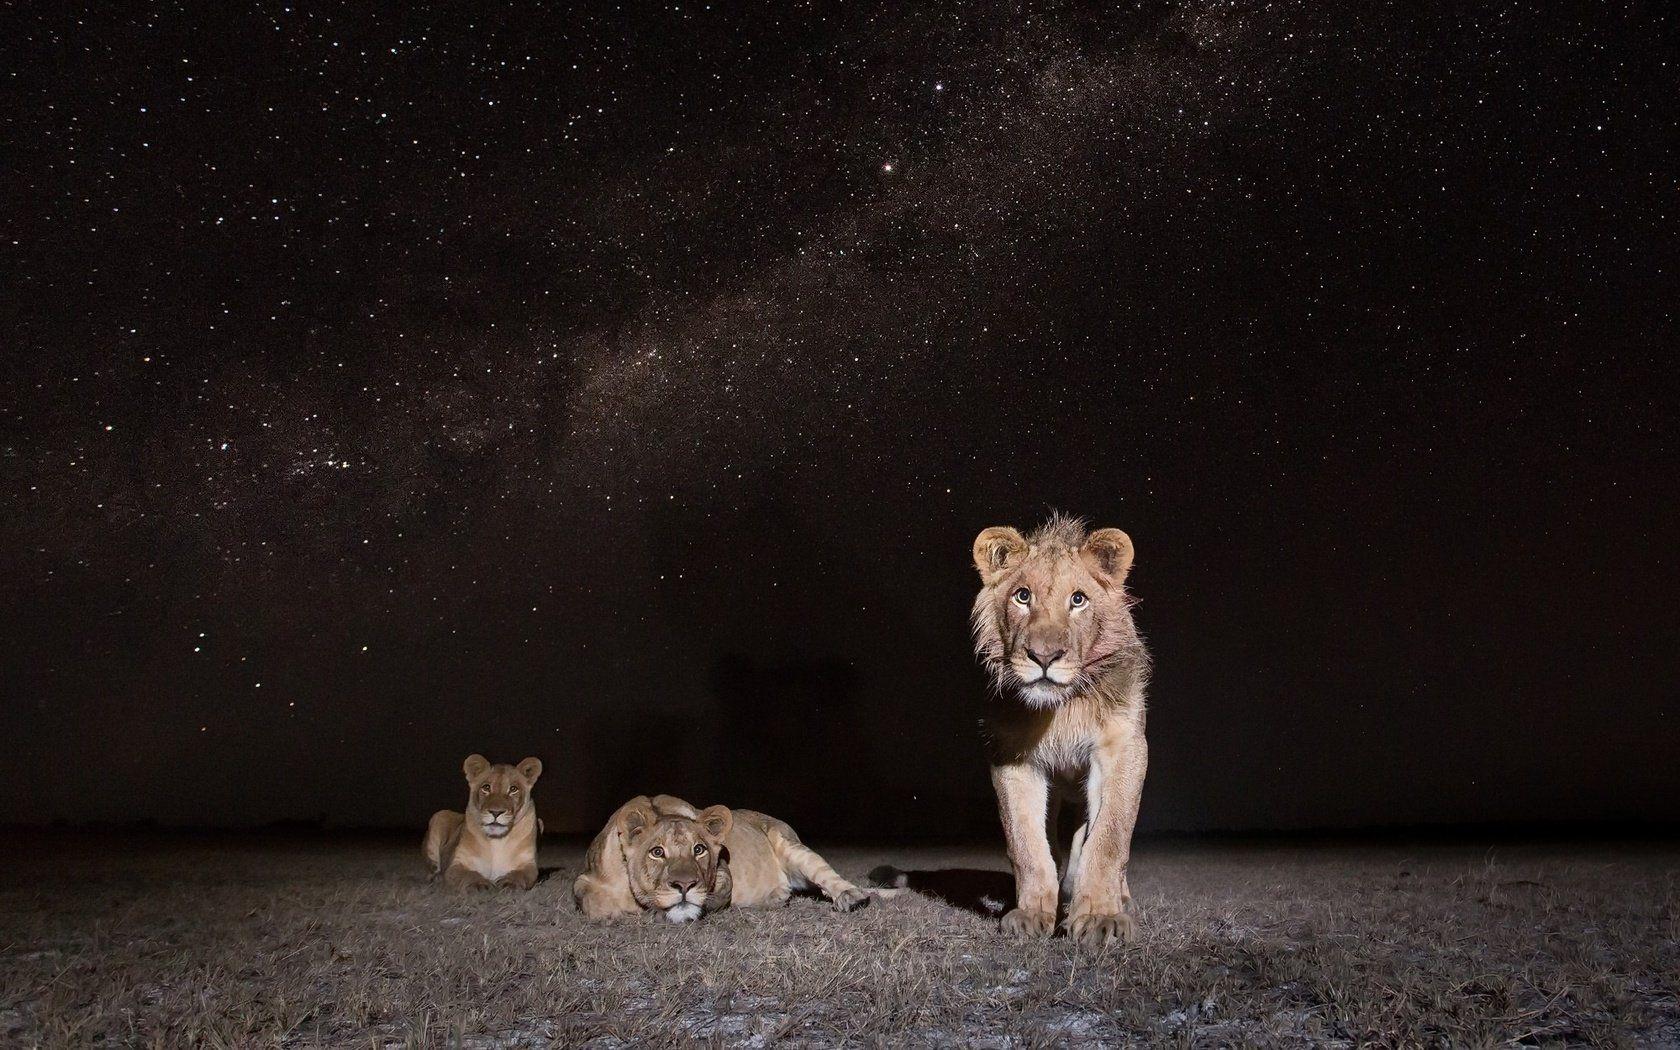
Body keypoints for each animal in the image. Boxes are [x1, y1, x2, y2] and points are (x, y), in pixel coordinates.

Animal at [424, 754, 543, 891]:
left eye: (513, 789)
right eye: (486, 787)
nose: (496, 812)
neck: (496, 841)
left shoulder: (528, 864)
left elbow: (521, 874)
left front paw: (509, 882)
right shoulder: (456, 864)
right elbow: (468, 874)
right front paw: (479, 884)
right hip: (439, 815)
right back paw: (436, 878)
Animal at [572, 795, 885, 922]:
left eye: (699, 849)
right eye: (657, 852)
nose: (684, 886)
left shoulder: (723, 871)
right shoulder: (584, 879)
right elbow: (592, 902)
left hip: (790, 844)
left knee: (828, 876)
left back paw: (850, 896)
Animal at [969, 514, 1151, 947]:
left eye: (1078, 600)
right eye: (1022, 596)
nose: (1044, 656)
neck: (1061, 710)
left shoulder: (1122, 749)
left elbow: (1108, 838)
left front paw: (1102, 917)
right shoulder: (1012, 758)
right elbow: (1027, 845)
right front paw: (1032, 913)